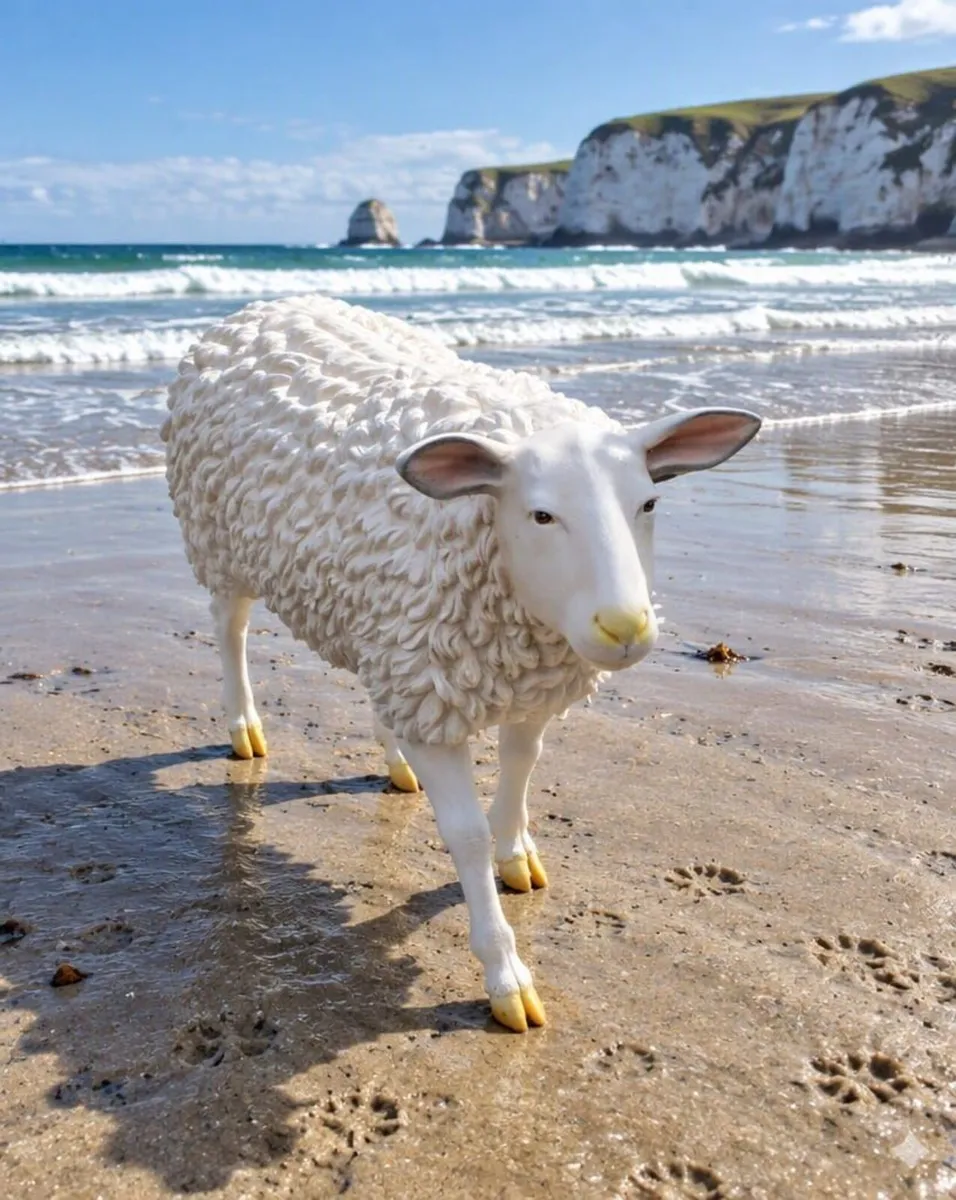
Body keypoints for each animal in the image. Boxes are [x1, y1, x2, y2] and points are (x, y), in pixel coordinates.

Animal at [162, 293, 760, 1032]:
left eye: (648, 503)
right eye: (541, 515)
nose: (625, 628)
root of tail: (267, 304)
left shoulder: (514, 680)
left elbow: (523, 767)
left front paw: (517, 856)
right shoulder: (438, 688)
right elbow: (467, 837)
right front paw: (505, 975)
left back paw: (397, 763)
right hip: (221, 544)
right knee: (230, 629)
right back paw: (244, 728)